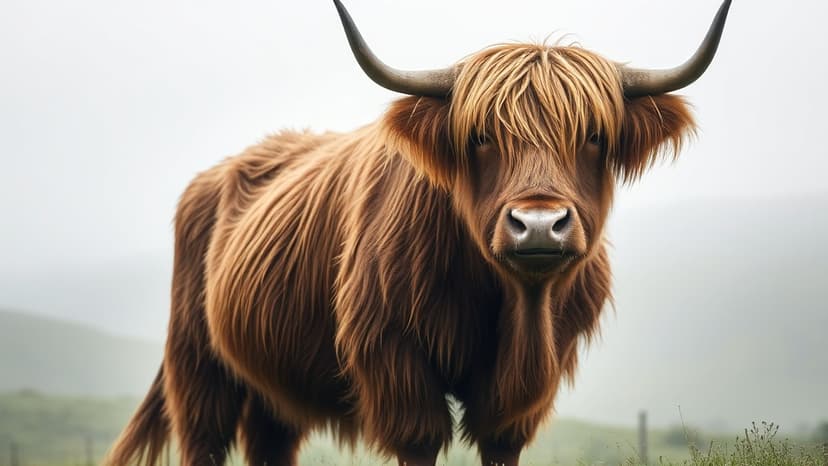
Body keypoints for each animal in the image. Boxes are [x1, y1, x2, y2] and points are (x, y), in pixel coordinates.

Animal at [107, 1, 732, 465]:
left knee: (270, 440)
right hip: (198, 363)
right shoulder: (394, 357)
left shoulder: (527, 382)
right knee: (206, 437)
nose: (537, 225)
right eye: (480, 136)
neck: (511, 304)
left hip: (273, 381)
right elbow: (420, 439)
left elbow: (499, 441)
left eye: (596, 136)